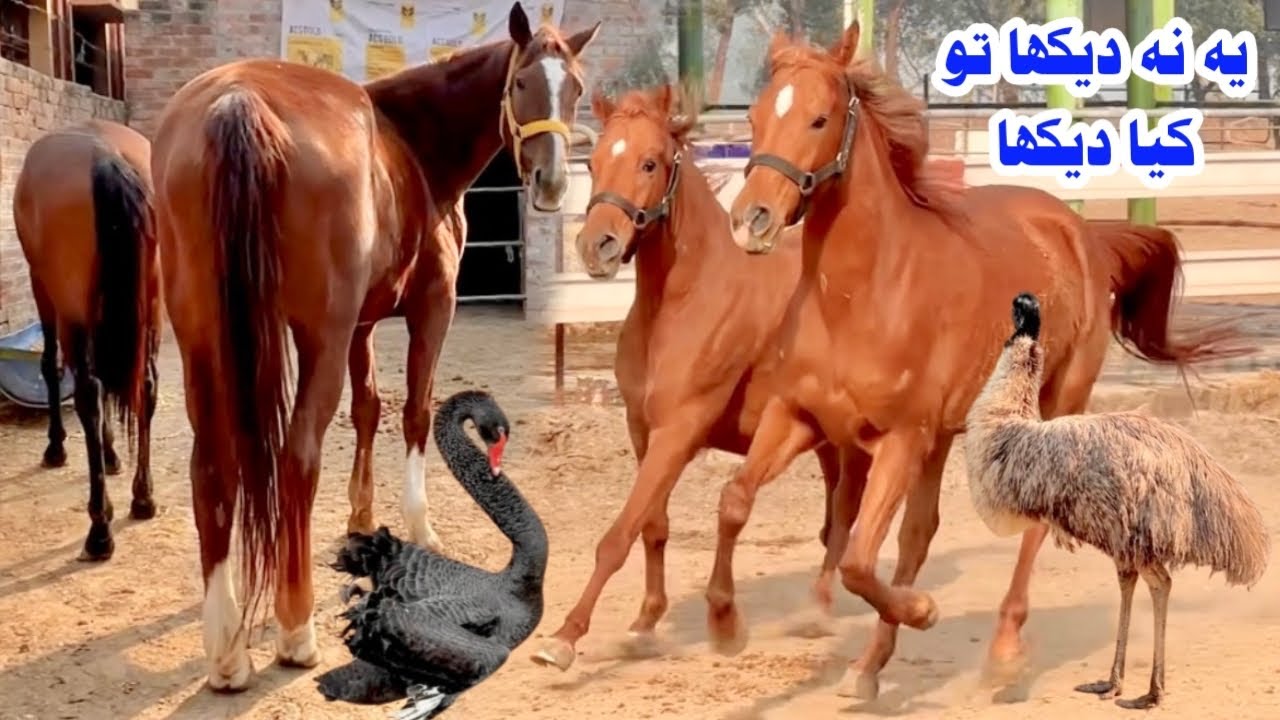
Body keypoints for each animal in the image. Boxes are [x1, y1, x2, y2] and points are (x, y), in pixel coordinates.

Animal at [12, 120, 161, 562]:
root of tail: (105, 157)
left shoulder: (43, 289)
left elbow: (50, 366)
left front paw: (56, 448)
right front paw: (112, 456)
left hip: (72, 309)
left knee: (87, 396)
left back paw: (99, 529)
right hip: (150, 309)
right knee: (145, 387)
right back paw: (143, 498)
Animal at [148, 2, 599, 691]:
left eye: (574, 87)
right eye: (522, 81)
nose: (549, 183)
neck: (411, 145)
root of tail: (237, 99)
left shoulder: (361, 325)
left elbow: (368, 410)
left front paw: (361, 520)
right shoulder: (430, 308)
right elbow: (414, 410)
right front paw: (420, 524)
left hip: (205, 335)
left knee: (213, 467)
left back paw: (226, 650)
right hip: (318, 336)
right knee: (297, 456)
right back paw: (295, 631)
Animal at [530, 85, 870, 671]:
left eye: (649, 162)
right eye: (593, 164)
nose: (597, 246)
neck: (684, 301)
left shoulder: (679, 431)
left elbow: (619, 534)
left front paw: (565, 638)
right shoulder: (643, 430)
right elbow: (653, 526)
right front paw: (645, 625)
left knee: (848, 509)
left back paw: (820, 611)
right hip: (822, 439)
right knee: (835, 515)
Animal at [709, 24, 1249, 698]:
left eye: (819, 118)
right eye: (755, 117)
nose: (749, 221)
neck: (859, 296)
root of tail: (1084, 235)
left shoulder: (902, 438)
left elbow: (859, 560)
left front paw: (922, 612)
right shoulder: (800, 417)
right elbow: (736, 501)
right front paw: (726, 626)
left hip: (1051, 407)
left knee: (1031, 525)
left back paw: (1004, 655)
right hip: (943, 437)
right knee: (918, 535)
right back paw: (868, 667)